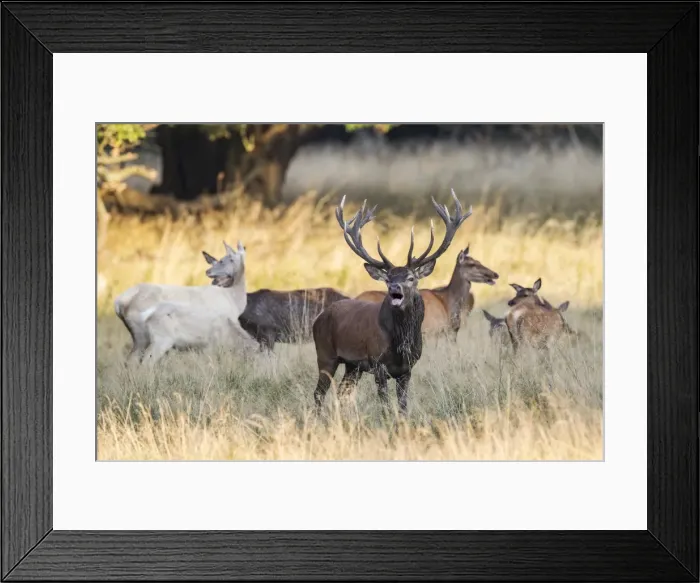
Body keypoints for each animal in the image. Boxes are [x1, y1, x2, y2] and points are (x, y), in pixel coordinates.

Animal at [114, 240, 255, 364]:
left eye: (230, 259)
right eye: (222, 258)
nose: (208, 272)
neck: (234, 300)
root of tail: (119, 302)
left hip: (138, 336)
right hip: (145, 335)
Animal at [312, 189, 472, 418]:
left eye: (411, 278)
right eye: (388, 279)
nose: (395, 287)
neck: (401, 343)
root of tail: (318, 318)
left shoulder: (407, 369)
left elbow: (403, 406)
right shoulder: (378, 364)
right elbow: (386, 406)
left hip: (352, 366)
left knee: (343, 394)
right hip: (325, 354)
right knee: (319, 393)